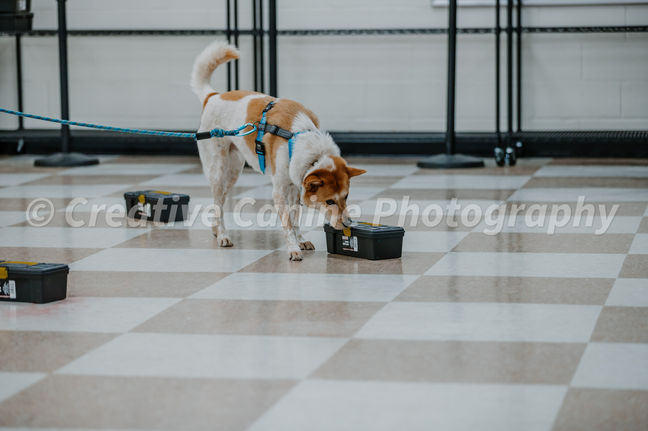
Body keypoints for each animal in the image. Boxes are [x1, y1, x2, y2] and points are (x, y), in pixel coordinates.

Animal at [190, 41, 366, 261]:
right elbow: (287, 222)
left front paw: (301, 239)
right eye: (329, 201)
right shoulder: (280, 190)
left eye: (346, 196)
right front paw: (293, 248)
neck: (299, 138)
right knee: (217, 201)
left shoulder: (295, 186)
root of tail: (213, 97)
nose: (349, 224)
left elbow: (295, 217)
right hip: (218, 169)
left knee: (220, 201)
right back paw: (222, 234)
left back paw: (216, 230)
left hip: (233, 171)